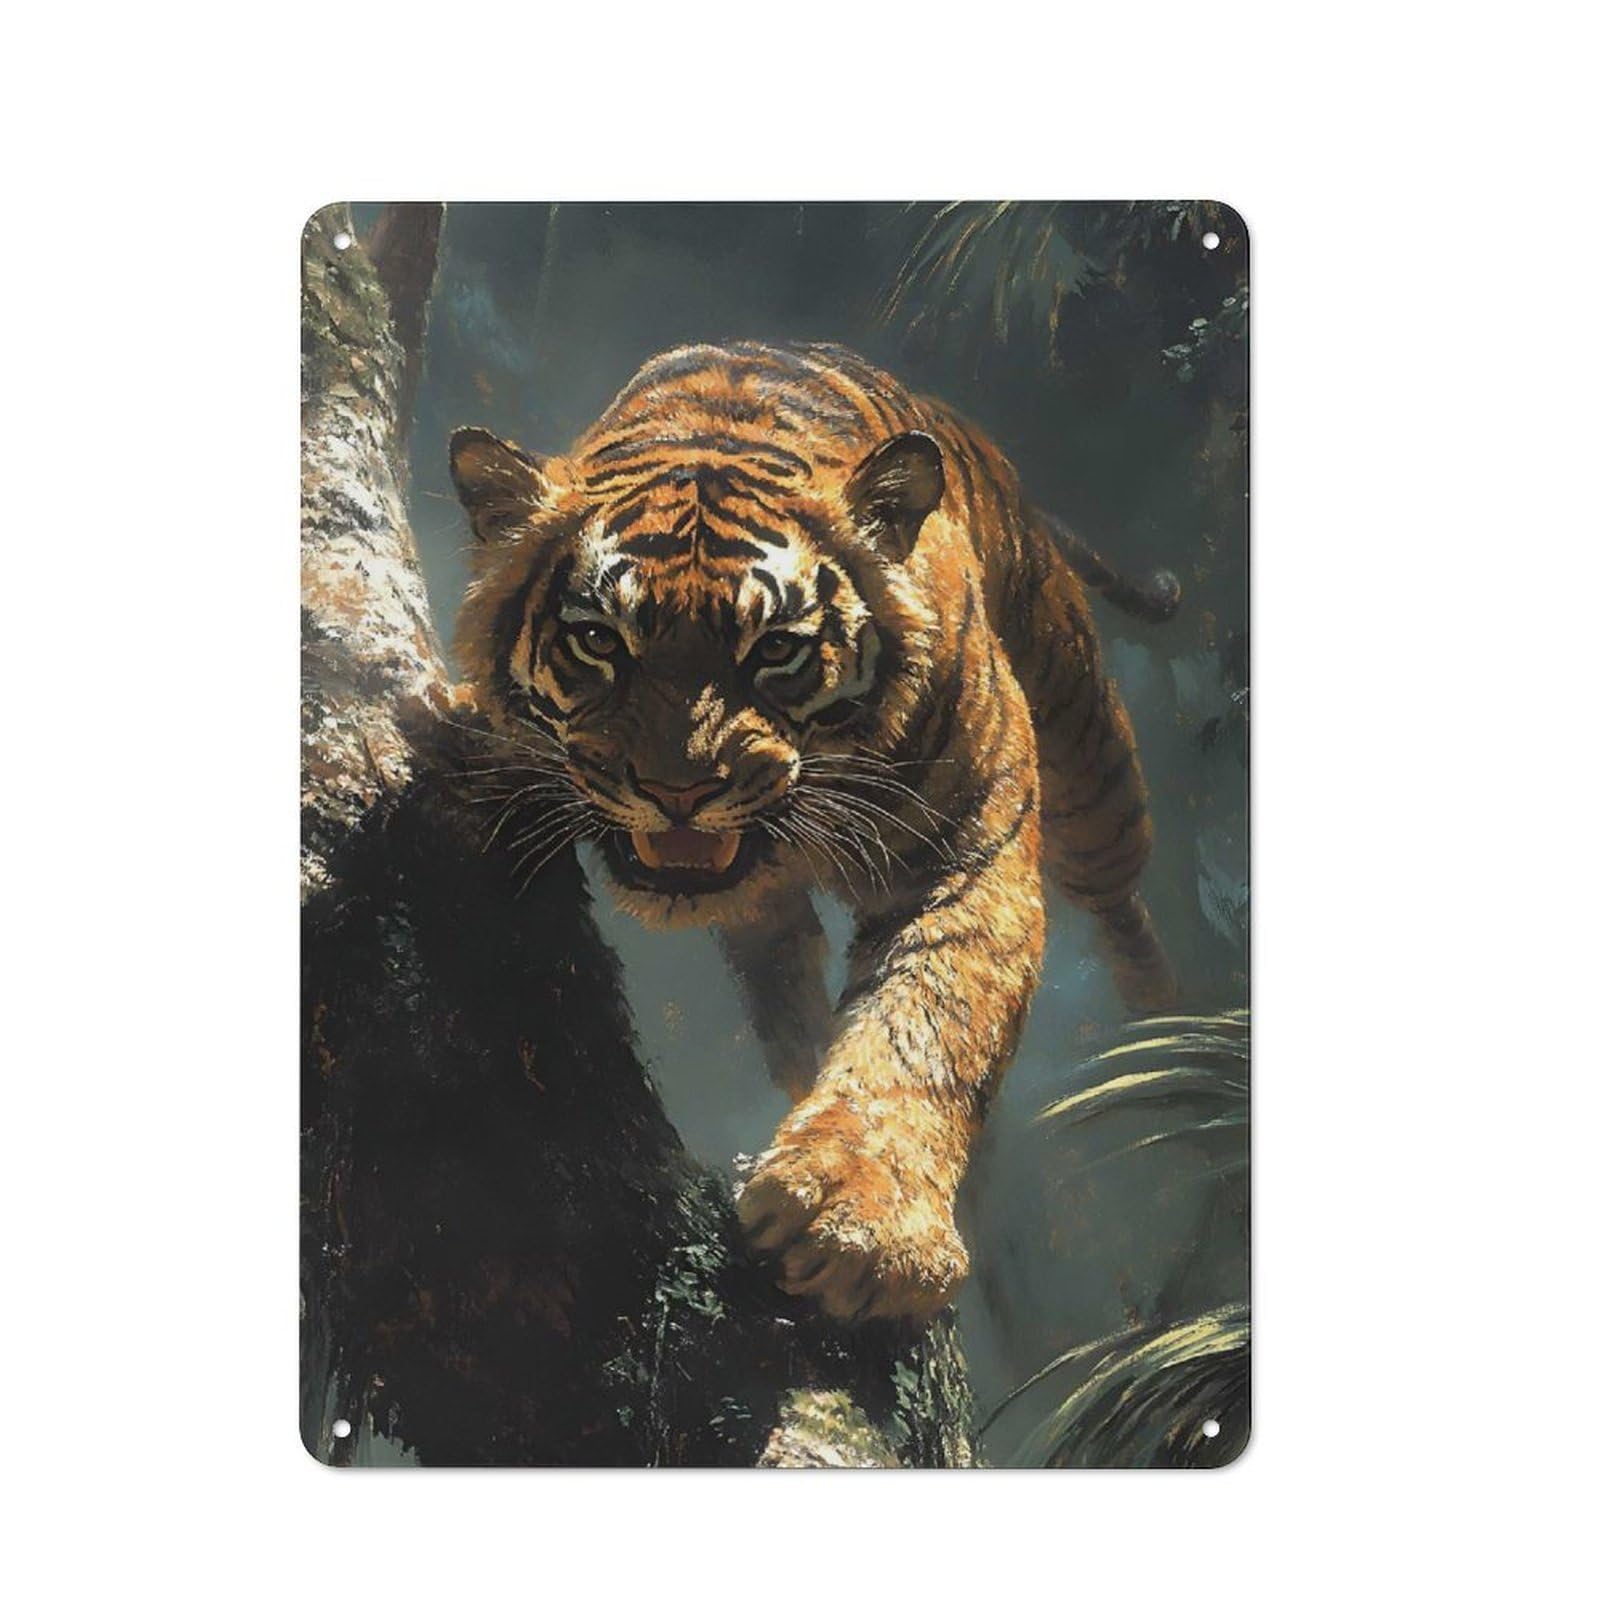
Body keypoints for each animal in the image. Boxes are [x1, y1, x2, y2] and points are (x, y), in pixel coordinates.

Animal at [450, 340, 1176, 1322]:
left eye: (776, 650)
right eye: (600, 641)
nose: (678, 790)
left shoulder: (971, 853)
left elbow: (931, 1019)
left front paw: (859, 1226)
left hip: (1086, 759)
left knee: (1120, 901)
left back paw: (1172, 1034)